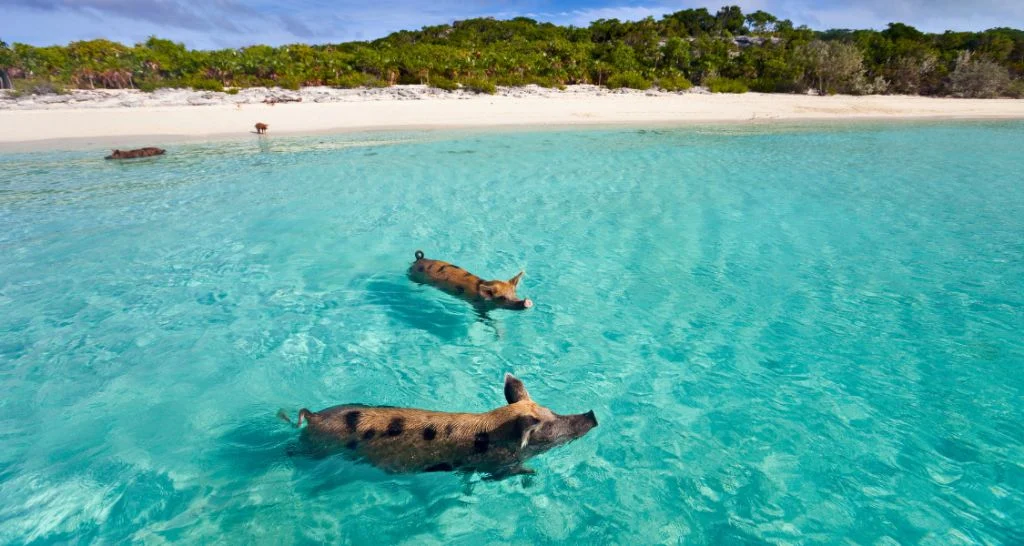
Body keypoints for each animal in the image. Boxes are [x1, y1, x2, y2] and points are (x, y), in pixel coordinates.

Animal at [279, 374, 597, 478]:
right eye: (549, 425)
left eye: (552, 410)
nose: (592, 414)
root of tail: (313, 415)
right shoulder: (496, 465)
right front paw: (533, 474)